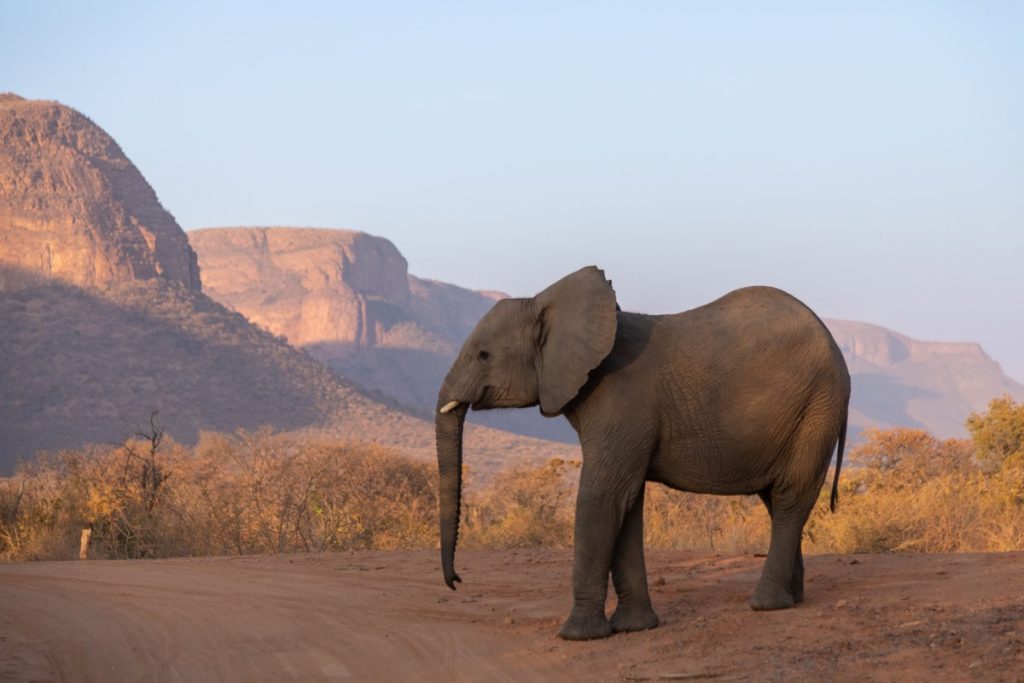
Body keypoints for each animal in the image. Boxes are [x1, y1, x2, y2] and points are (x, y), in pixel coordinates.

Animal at [436, 266, 851, 643]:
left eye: (483, 355)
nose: (456, 581)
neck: (548, 302)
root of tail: (837, 351)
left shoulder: (621, 402)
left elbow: (602, 499)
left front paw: (578, 636)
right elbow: (627, 503)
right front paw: (635, 628)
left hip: (817, 407)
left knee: (789, 498)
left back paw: (767, 605)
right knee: (776, 499)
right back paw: (792, 598)